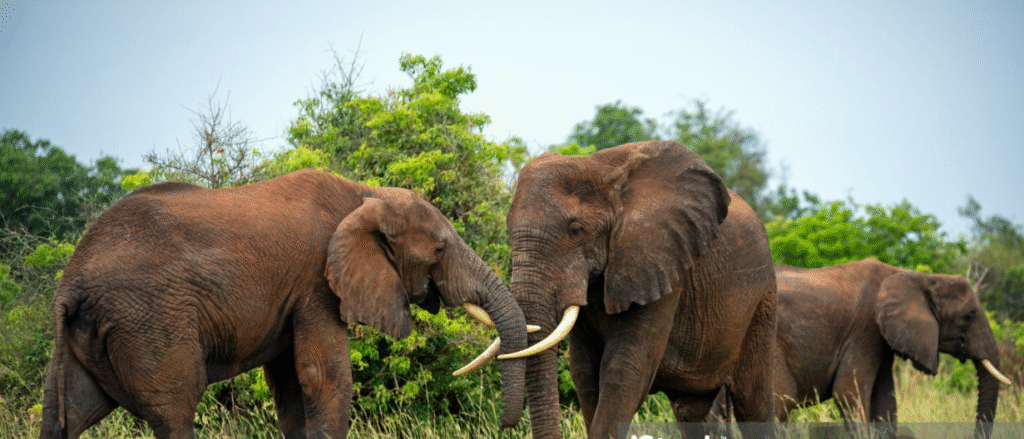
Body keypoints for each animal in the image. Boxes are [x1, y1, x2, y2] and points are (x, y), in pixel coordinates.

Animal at [38, 169, 527, 439]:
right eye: (440, 249)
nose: (507, 427)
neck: (365, 194)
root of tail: (69, 283)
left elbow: (291, 387)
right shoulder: (316, 281)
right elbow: (323, 377)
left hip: (91, 333)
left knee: (69, 416)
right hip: (149, 323)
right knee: (174, 408)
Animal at [495, 140, 778, 439]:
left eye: (576, 230)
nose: (507, 423)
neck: (602, 169)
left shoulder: (660, 259)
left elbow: (624, 370)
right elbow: (584, 372)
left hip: (762, 300)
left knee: (753, 402)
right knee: (689, 411)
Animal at [726, 259, 1010, 435]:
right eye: (969, 316)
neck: (915, 277)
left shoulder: (882, 341)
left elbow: (885, 403)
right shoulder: (865, 331)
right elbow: (848, 393)